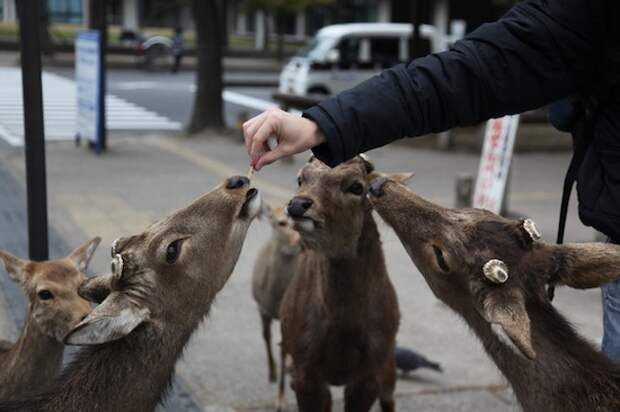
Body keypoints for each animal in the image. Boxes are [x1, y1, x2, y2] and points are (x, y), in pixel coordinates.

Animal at [280, 156, 402, 412]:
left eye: (356, 186)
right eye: (301, 178)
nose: (298, 204)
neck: (344, 328)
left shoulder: (371, 370)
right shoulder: (304, 366)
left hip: (389, 363)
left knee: (389, 399)